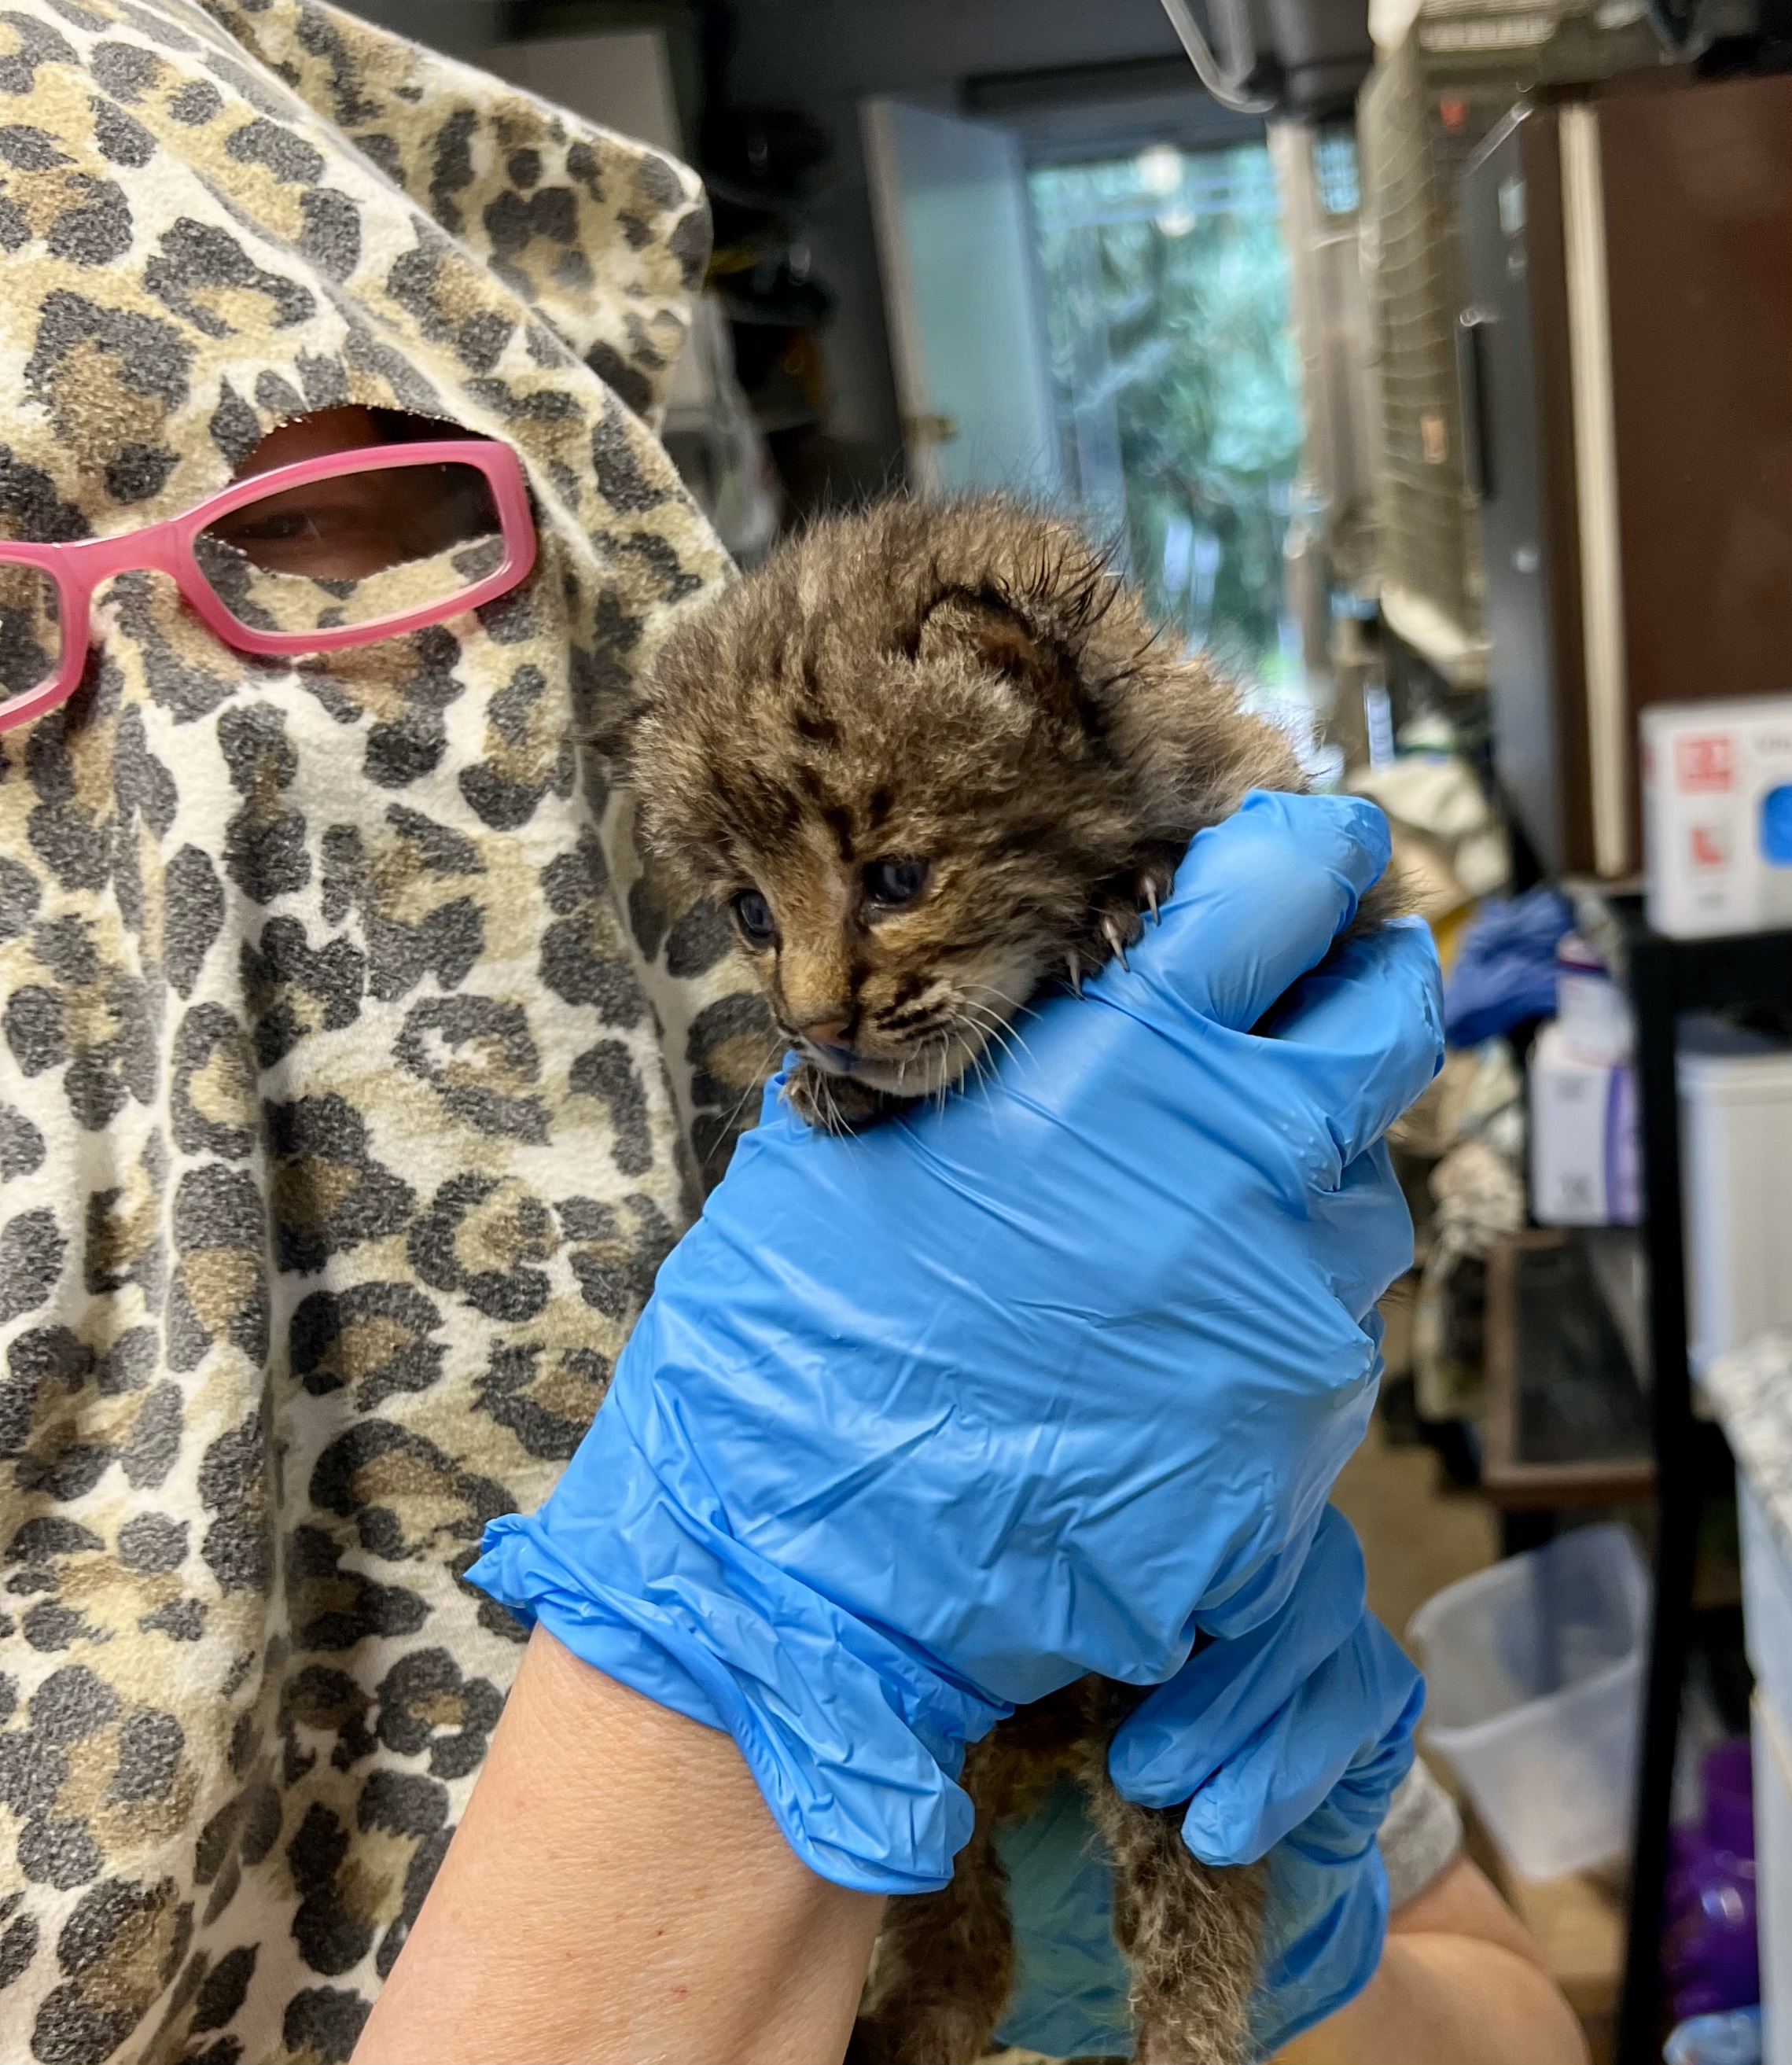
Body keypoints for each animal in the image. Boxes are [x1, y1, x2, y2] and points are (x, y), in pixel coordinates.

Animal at [631, 499, 1404, 2065]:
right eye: (748, 911)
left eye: (894, 878)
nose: (815, 1021)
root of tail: (1037, 1739)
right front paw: (825, 1090)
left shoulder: (1334, 918)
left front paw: (1121, 909)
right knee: (957, 1938)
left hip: (1179, 1714)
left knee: (1183, 1903)